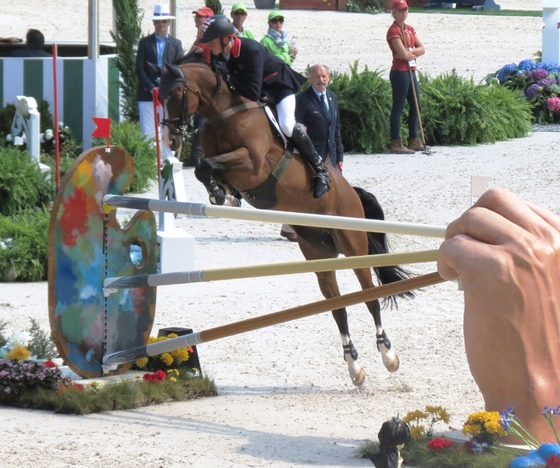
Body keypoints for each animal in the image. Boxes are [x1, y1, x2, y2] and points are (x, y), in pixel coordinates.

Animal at [156, 53, 412, 386]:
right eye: (158, 95)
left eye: (175, 94)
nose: (170, 139)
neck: (224, 112)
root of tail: (352, 194)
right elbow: (204, 167)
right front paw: (221, 195)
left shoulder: (252, 164)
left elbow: (206, 165)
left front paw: (222, 194)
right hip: (318, 254)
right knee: (338, 307)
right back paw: (354, 367)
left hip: (353, 246)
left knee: (370, 297)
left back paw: (388, 355)